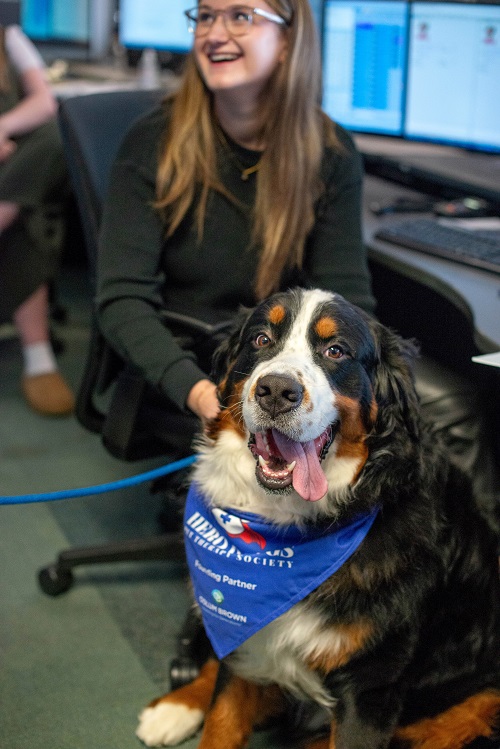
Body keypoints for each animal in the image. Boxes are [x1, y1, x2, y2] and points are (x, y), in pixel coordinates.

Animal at [137, 288, 500, 748]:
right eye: (261, 340)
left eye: (335, 351)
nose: (276, 390)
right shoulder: (247, 636)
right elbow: (221, 721)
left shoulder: (370, 687)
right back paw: (177, 705)